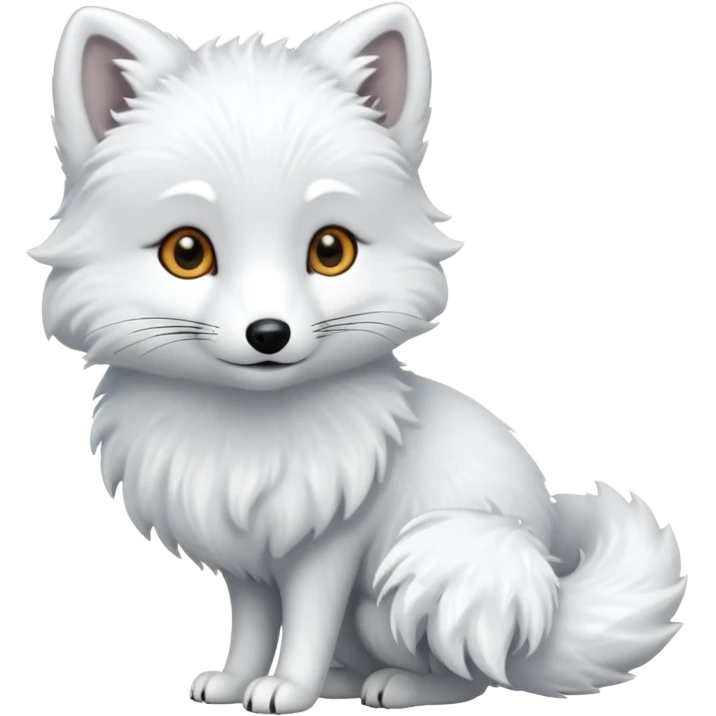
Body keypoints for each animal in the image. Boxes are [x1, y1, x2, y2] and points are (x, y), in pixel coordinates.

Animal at [32, 2, 687, 712]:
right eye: (187, 252)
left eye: (330, 250)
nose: (269, 333)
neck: (248, 435)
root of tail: (547, 600)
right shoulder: (248, 557)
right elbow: (252, 627)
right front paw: (235, 681)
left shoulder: (329, 552)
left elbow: (306, 627)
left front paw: (288, 691)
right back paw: (343, 682)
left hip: (410, 587)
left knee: (469, 673)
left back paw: (397, 686)